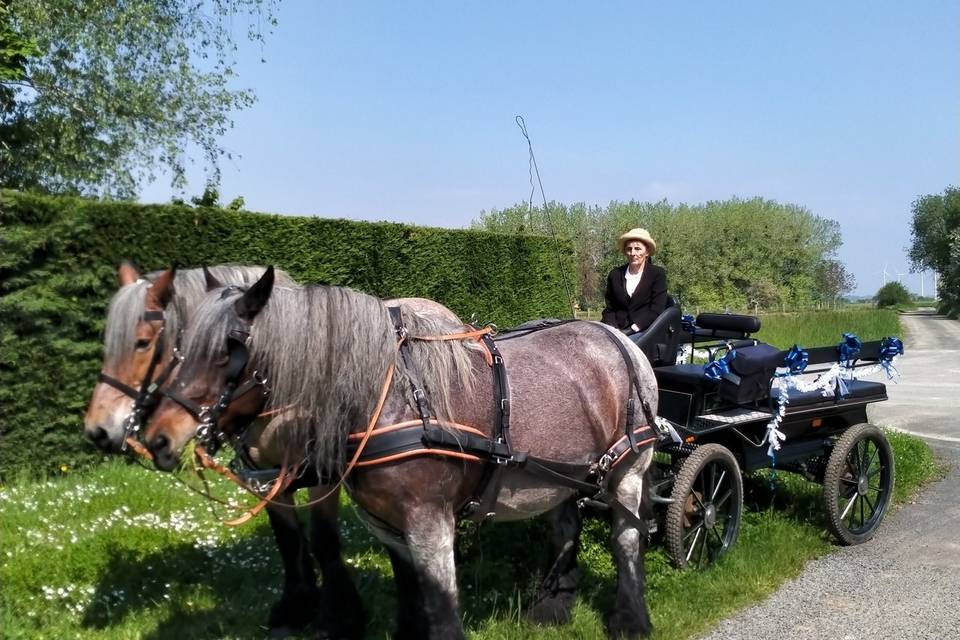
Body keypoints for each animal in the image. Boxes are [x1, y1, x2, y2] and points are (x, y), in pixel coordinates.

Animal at [81, 262, 368, 636]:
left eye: (142, 342)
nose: (97, 430)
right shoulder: (264, 475)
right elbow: (288, 539)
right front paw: (297, 606)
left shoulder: (324, 474)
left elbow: (324, 539)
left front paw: (339, 617)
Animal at [142, 268, 664, 636]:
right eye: (178, 345)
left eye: (231, 348)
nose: (157, 438)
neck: (385, 398)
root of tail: (620, 340)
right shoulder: (386, 524)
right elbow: (411, 595)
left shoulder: (430, 522)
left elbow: (441, 607)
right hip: (560, 473)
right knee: (565, 524)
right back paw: (551, 608)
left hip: (628, 469)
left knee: (626, 538)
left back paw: (631, 620)